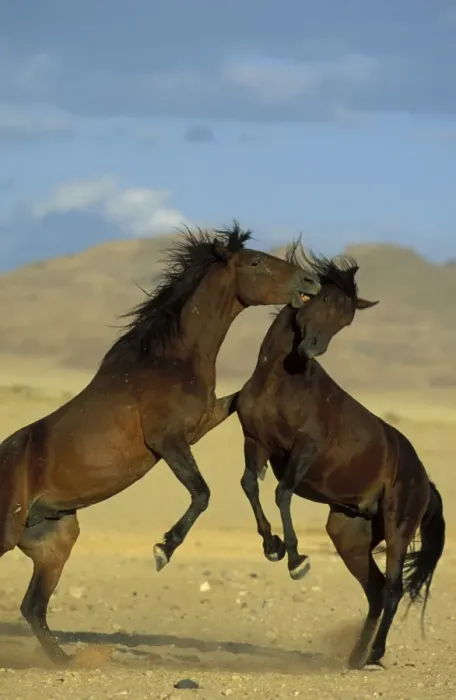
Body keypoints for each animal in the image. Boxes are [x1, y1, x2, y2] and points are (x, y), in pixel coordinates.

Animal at [0, 222, 322, 665]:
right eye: (256, 261)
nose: (312, 282)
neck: (169, 359)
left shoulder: (203, 421)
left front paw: (275, 547)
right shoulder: (167, 441)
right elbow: (201, 493)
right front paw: (163, 549)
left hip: (54, 540)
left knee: (33, 606)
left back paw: (65, 660)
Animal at [235, 251, 445, 670]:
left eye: (347, 320)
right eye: (324, 299)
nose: (312, 348)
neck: (279, 383)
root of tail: (425, 481)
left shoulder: (304, 450)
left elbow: (282, 493)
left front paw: (296, 560)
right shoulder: (256, 442)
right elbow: (250, 485)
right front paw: (272, 546)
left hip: (398, 526)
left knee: (393, 589)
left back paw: (374, 655)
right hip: (349, 532)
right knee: (376, 590)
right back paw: (355, 656)